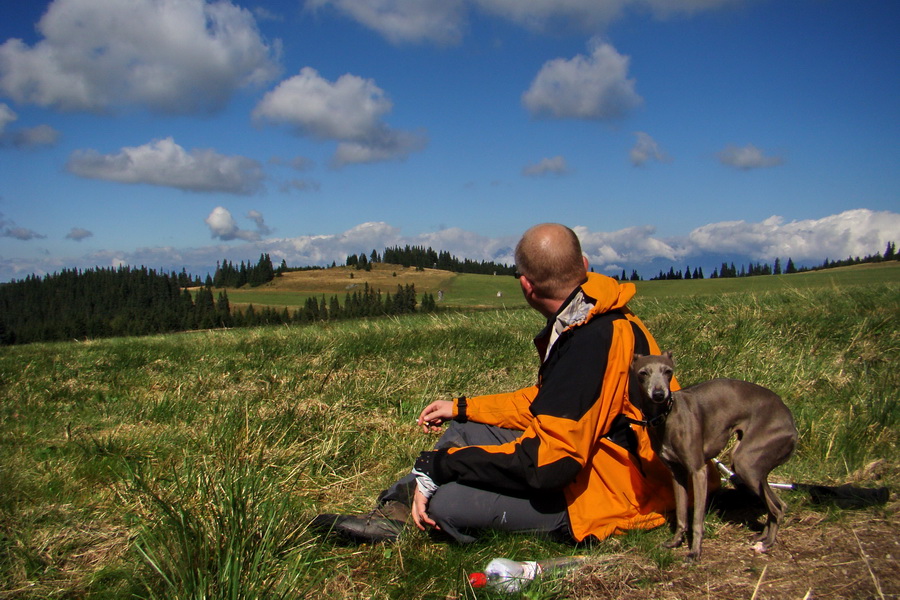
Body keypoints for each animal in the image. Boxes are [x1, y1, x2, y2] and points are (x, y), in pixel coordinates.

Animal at [628, 352, 800, 564]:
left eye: (668, 372)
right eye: (643, 373)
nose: (659, 394)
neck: (667, 416)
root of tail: (789, 419)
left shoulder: (698, 471)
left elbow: (696, 520)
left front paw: (695, 552)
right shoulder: (677, 474)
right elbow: (681, 513)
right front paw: (675, 542)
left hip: (746, 463)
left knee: (777, 507)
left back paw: (767, 544)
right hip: (752, 467)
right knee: (777, 504)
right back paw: (763, 537)